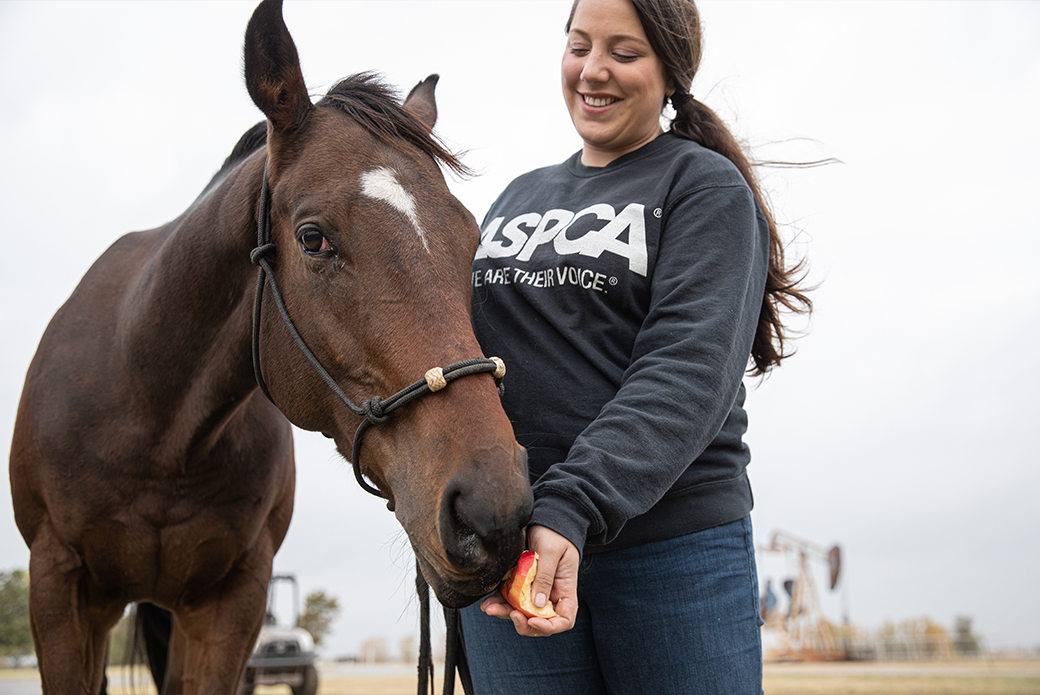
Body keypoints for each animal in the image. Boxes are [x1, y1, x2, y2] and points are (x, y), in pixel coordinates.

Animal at [12, 0, 536, 690]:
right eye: (313, 238)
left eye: (470, 238)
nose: (491, 514)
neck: (156, 424)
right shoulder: (60, 590)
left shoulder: (231, 603)